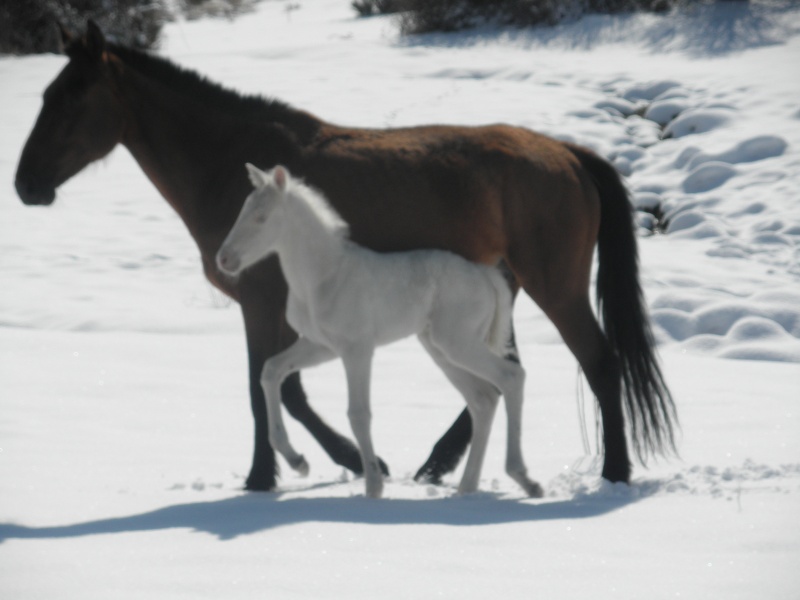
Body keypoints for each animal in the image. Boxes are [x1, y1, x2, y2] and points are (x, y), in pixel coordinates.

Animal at [216, 163, 540, 496]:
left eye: (261, 217)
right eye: (243, 209)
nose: (224, 259)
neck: (322, 278)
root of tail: (487, 276)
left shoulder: (357, 349)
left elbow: (358, 414)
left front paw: (373, 486)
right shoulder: (320, 345)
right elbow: (271, 371)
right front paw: (298, 461)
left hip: (459, 343)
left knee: (511, 378)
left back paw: (523, 478)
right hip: (440, 349)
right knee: (483, 399)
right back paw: (467, 488)